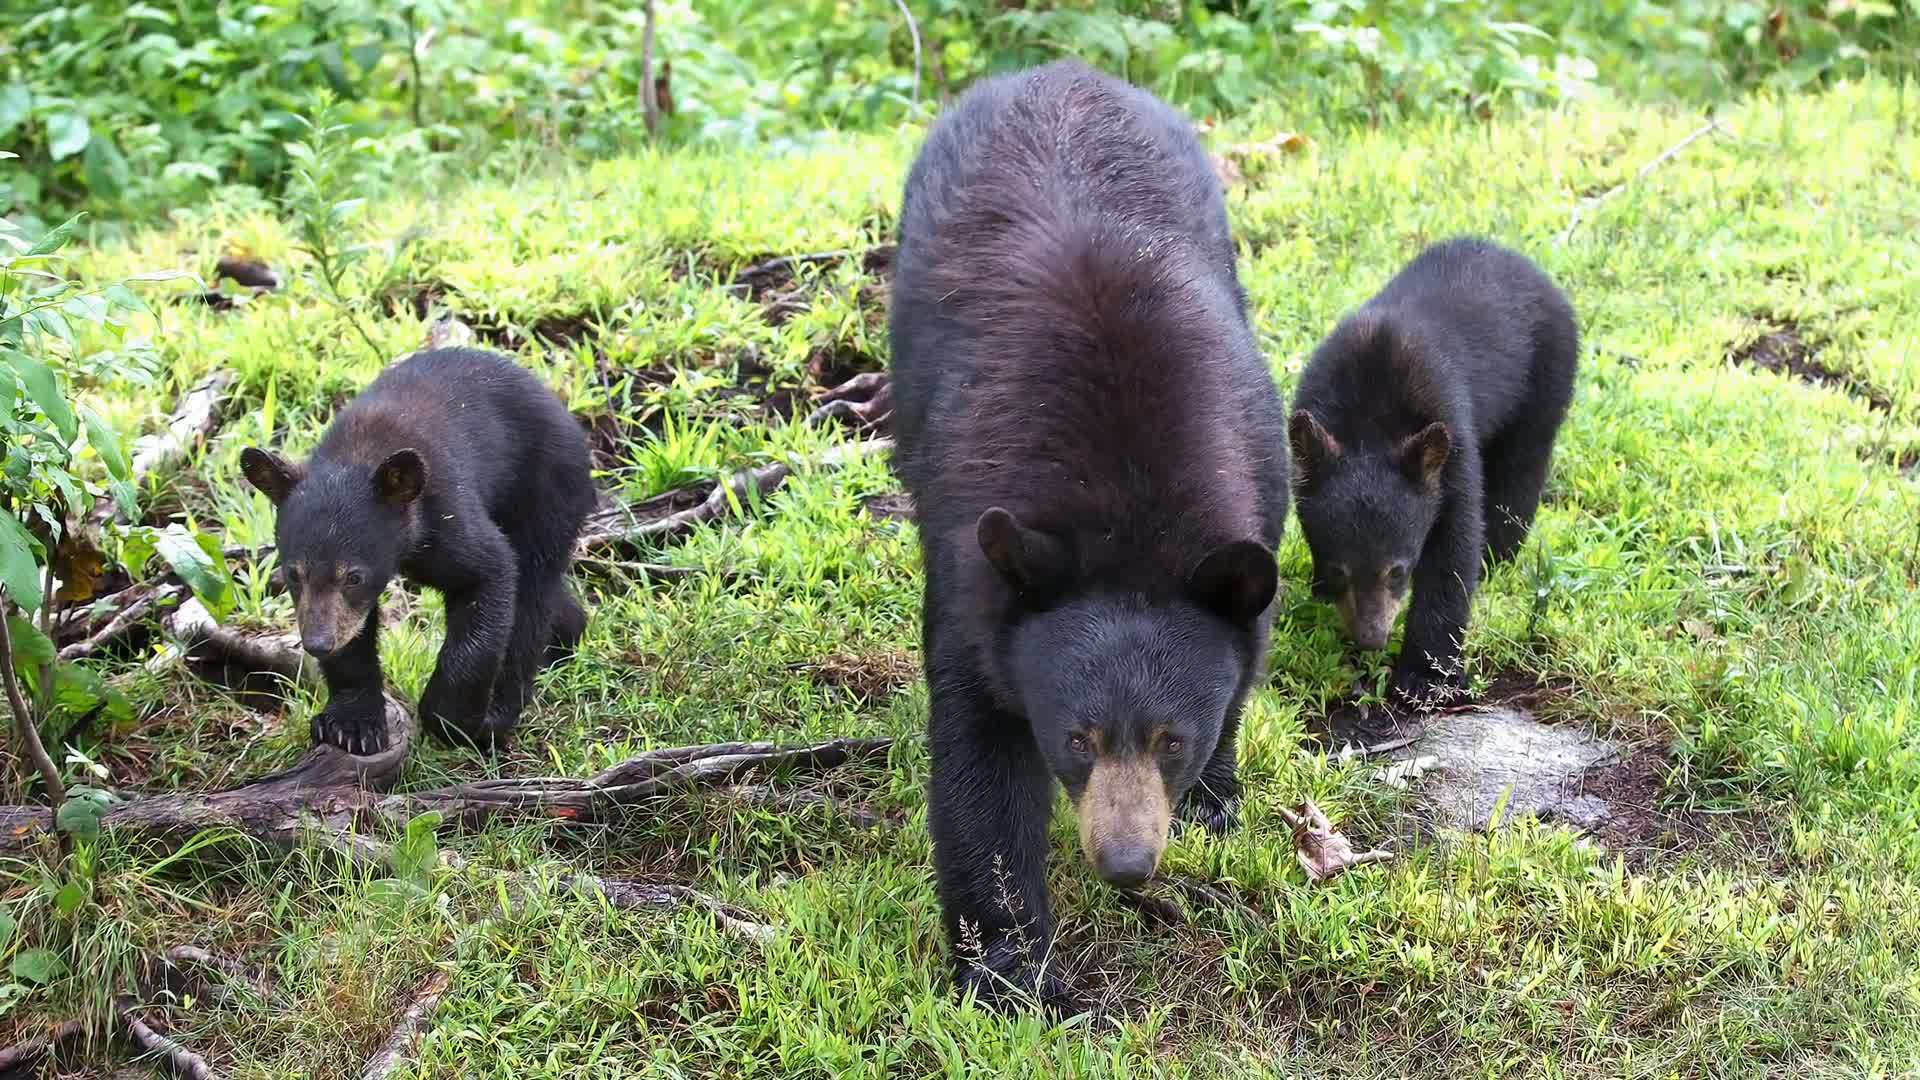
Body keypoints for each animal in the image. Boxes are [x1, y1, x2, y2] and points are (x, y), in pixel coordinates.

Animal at [240, 346, 596, 755]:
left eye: (354, 576)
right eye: (293, 574)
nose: (318, 643)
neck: (358, 454)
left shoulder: (448, 515)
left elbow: (490, 575)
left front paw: (452, 719)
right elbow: (355, 637)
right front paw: (352, 726)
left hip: (547, 490)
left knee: (531, 595)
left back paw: (502, 711)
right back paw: (566, 641)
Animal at [888, 60, 1290, 1011]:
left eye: (1172, 739)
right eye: (1077, 737)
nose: (1128, 863)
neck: (1128, 515)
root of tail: (1058, 70)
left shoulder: (1262, 470)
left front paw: (1215, 801)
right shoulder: (976, 565)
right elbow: (980, 757)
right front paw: (1011, 973)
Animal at [1288, 236, 1578, 708]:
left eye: (1398, 571)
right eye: (1339, 569)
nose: (1371, 638)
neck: (1370, 418)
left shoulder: (1449, 432)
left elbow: (1452, 548)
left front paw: (1426, 679)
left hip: (1547, 372)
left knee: (1522, 464)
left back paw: (1498, 556)